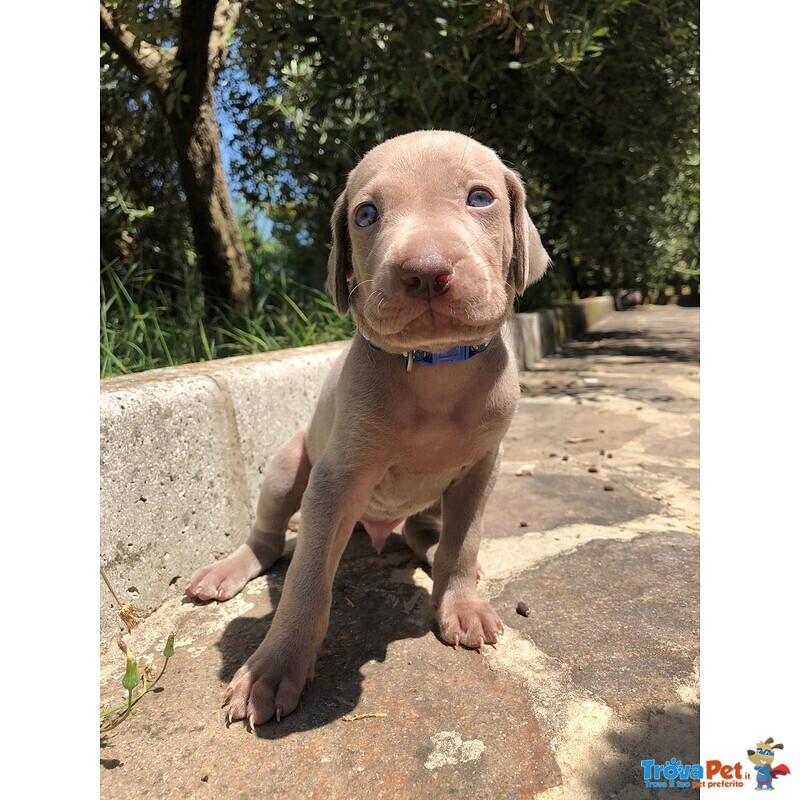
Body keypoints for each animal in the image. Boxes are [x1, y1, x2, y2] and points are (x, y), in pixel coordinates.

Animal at [187, 130, 552, 724]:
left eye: (480, 198)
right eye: (366, 214)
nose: (425, 270)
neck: (434, 367)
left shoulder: (482, 467)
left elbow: (464, 542)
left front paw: (461, 603)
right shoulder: (337, 480)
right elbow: (307, 579)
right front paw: (274, 667)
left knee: (426, 532)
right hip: (289, 466)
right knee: (268, 537)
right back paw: (227, 570)